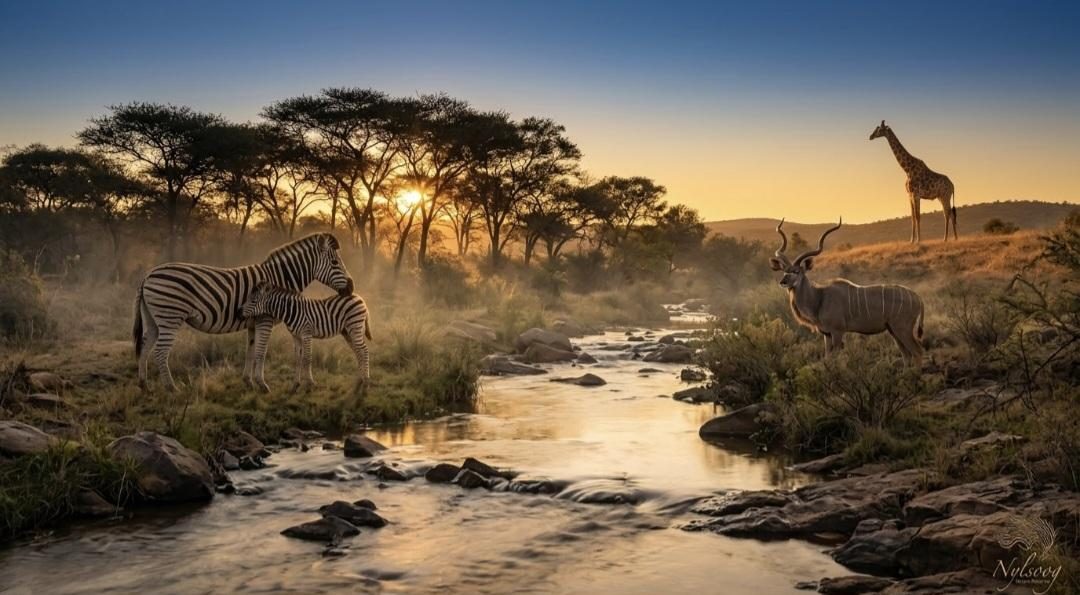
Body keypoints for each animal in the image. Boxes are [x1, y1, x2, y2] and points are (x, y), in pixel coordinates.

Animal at [133, 233, 354, 391]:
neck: (278, 279)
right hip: (170, 316)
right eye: (335, 263)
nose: (351, 288)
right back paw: (172, 388)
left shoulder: (252, 322)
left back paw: (145, 386)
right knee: (160, 351)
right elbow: (261, 351)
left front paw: (248, 382)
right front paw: (262, 385)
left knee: (145, 346)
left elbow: (251, 350)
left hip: (154, 319)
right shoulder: (265, 319)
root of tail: (148, 275)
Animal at [241, 282, 371, 390]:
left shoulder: (306, 334)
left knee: (364, 350)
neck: (291, 311)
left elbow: (307, 358)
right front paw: (295, 384)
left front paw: (310, 383)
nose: (240, 311)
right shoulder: (296, 336)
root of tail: (358, 298)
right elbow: (298, 359)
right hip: (348, 332)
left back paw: (366, 382)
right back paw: (360, 380)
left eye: (253, 301)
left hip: (355, 326)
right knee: (358, 351)